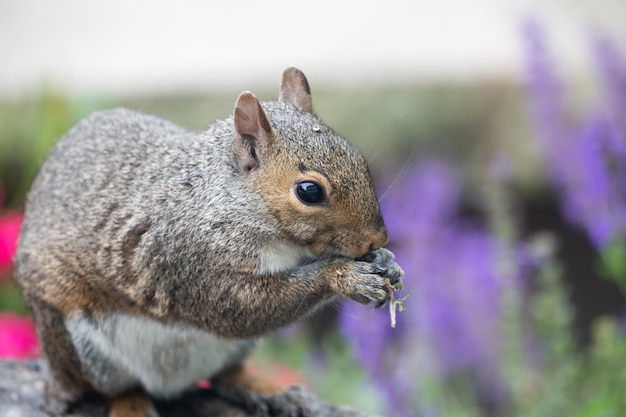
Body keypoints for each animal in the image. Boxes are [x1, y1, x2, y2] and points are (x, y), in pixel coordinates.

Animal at [15, 67, 404, 416]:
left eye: (359, 160)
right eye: (309, 191)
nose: (378, 237)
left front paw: (387, 263)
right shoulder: (190, 260)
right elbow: (242, 307)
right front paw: (345, 277)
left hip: (234, 350)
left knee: (224, 376)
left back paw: (267, 390)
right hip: (81, 348)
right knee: (117, 389)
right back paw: (130, 405)